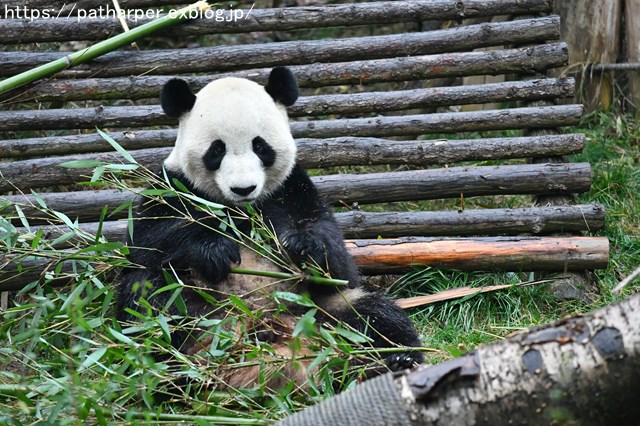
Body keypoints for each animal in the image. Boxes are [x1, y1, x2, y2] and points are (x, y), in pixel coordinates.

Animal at [117, 66, 422, 390]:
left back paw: (393, 362)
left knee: (376, 317)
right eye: (217, 150)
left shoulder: (292, 190)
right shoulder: (172, 187)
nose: (243, 188)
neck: (241, 209)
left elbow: (337, 263)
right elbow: (149, 243)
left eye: (260, 146)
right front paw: (214, 250)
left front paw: (303, 246)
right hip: (192, 308)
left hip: (325, 312)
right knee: (151, 303)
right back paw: (173, 374)